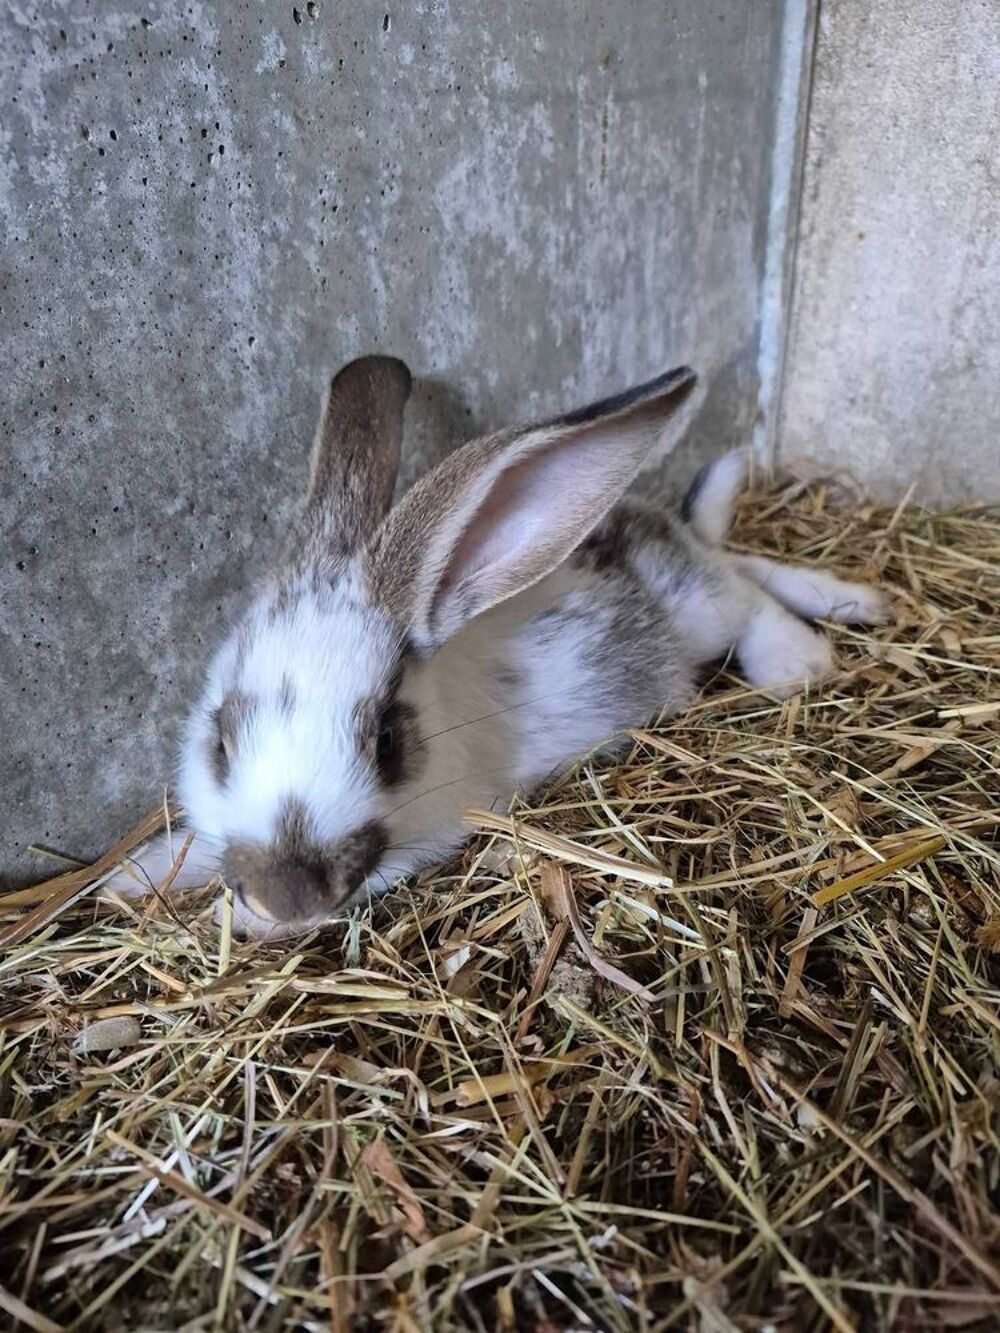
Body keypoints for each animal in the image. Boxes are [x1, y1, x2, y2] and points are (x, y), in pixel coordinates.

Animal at [104, 356, 888, 936]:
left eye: (387, 741)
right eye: (221, 740)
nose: (288, 895)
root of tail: (667, 529)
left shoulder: (433, 833)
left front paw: (250, 922)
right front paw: (130, 876)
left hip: (704, 608)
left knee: (749, 594)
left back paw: (804, 654)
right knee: (745, 565)